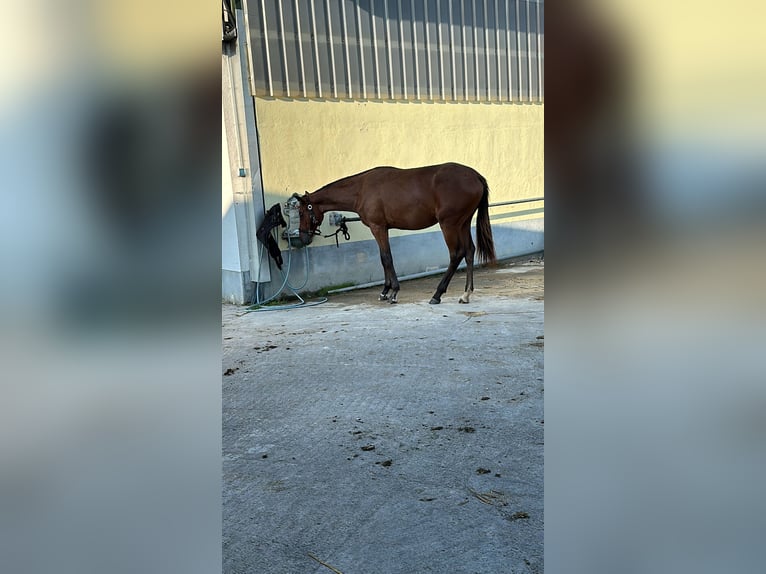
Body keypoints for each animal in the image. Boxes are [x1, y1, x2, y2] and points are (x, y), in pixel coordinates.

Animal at [292, 162, 496, 306]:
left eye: (301, 212)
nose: (303, 237)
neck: (361, 189)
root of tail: (475, 176)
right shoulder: (383, 229)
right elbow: (383, 259)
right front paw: (385, 291)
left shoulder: (378, 227)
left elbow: (387, 257)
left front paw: (394, 292)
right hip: (463, 223)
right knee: (469, 252)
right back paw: (465, 294)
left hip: (449, 224)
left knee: (456, 254)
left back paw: (437, 294)